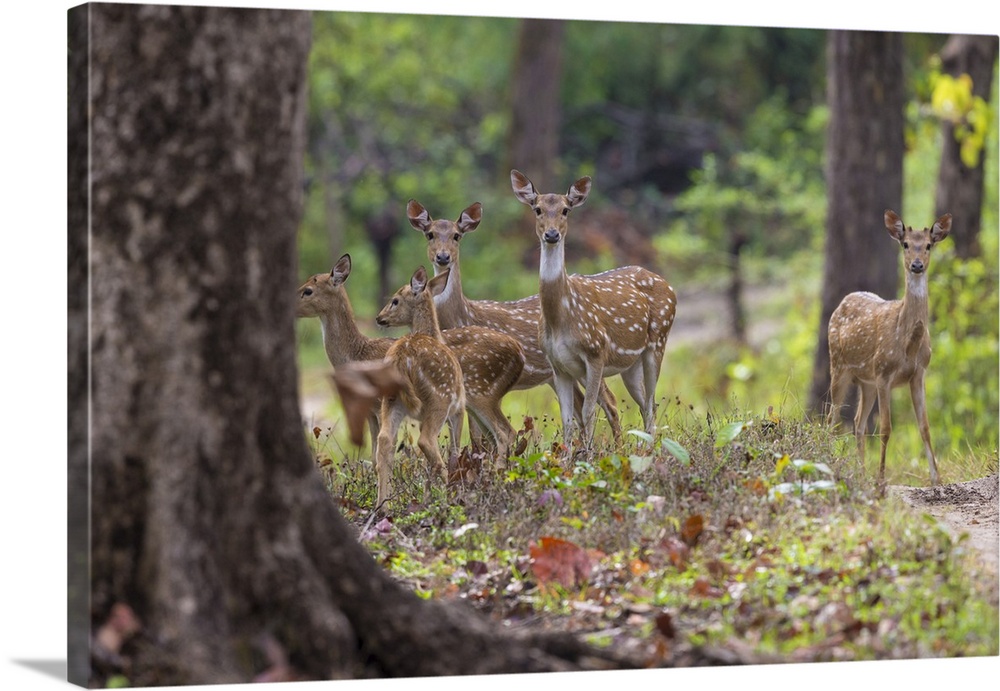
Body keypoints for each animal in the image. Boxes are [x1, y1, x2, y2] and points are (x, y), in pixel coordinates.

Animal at [376, 268, 528, 462]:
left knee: (505, 433)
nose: (379, 318)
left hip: (481, 394)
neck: (434, 336)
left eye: (395, 300)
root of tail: (520, 354)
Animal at [410, 197, 620, 446]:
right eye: (429, 234)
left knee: (610, 402)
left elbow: (480, 433)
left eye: (456, 235)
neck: (463, 315)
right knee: (580, 409)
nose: (443, 257)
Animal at [512, 170, 676, 446]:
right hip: (630, 364)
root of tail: (669, 286)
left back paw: (648, 450)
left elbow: (588, 412)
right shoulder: (558, 365)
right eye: (537, 209)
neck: (561, 319)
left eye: (566, 210)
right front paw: (566, 456)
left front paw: (587, 454)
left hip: (659, 339)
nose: (552, 235)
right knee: (644, 403)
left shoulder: (596, 352)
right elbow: (567, 420)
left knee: (651, 403)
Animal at [824, 208, 956, 490]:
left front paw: (937, 479)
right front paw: (881, 479)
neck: (908, 344)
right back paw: (832, 467)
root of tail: (841, 303)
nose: (916, 265)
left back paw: (861, 473)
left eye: (928, 245)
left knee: (857, 422)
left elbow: (925, 427)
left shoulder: (918, 374)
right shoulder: (884, 373)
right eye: (905, 244)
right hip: (838, 366)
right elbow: (885, 428)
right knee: (832, 419)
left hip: (866, 381)